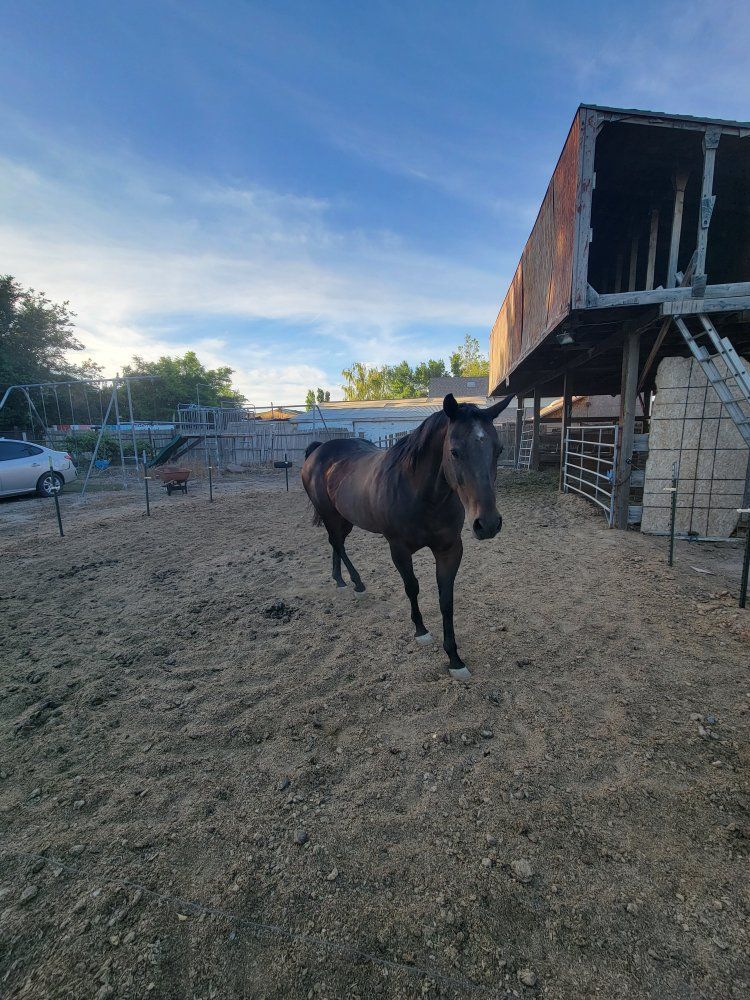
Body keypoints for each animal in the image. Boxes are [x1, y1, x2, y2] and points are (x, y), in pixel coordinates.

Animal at [300, 392, 513, 679]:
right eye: (454, 451)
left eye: (498, 450)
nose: (488, 524)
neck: (422, 495)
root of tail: (319, 451)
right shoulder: (399, 549)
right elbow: (412, 587)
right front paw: (421, 631)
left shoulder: (449, 549)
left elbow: (446, 599)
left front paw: (454, 659)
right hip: (330, 515)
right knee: (337, 543)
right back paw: (357, 584)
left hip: (343, 518)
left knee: (337, 544)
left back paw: (341, 581)